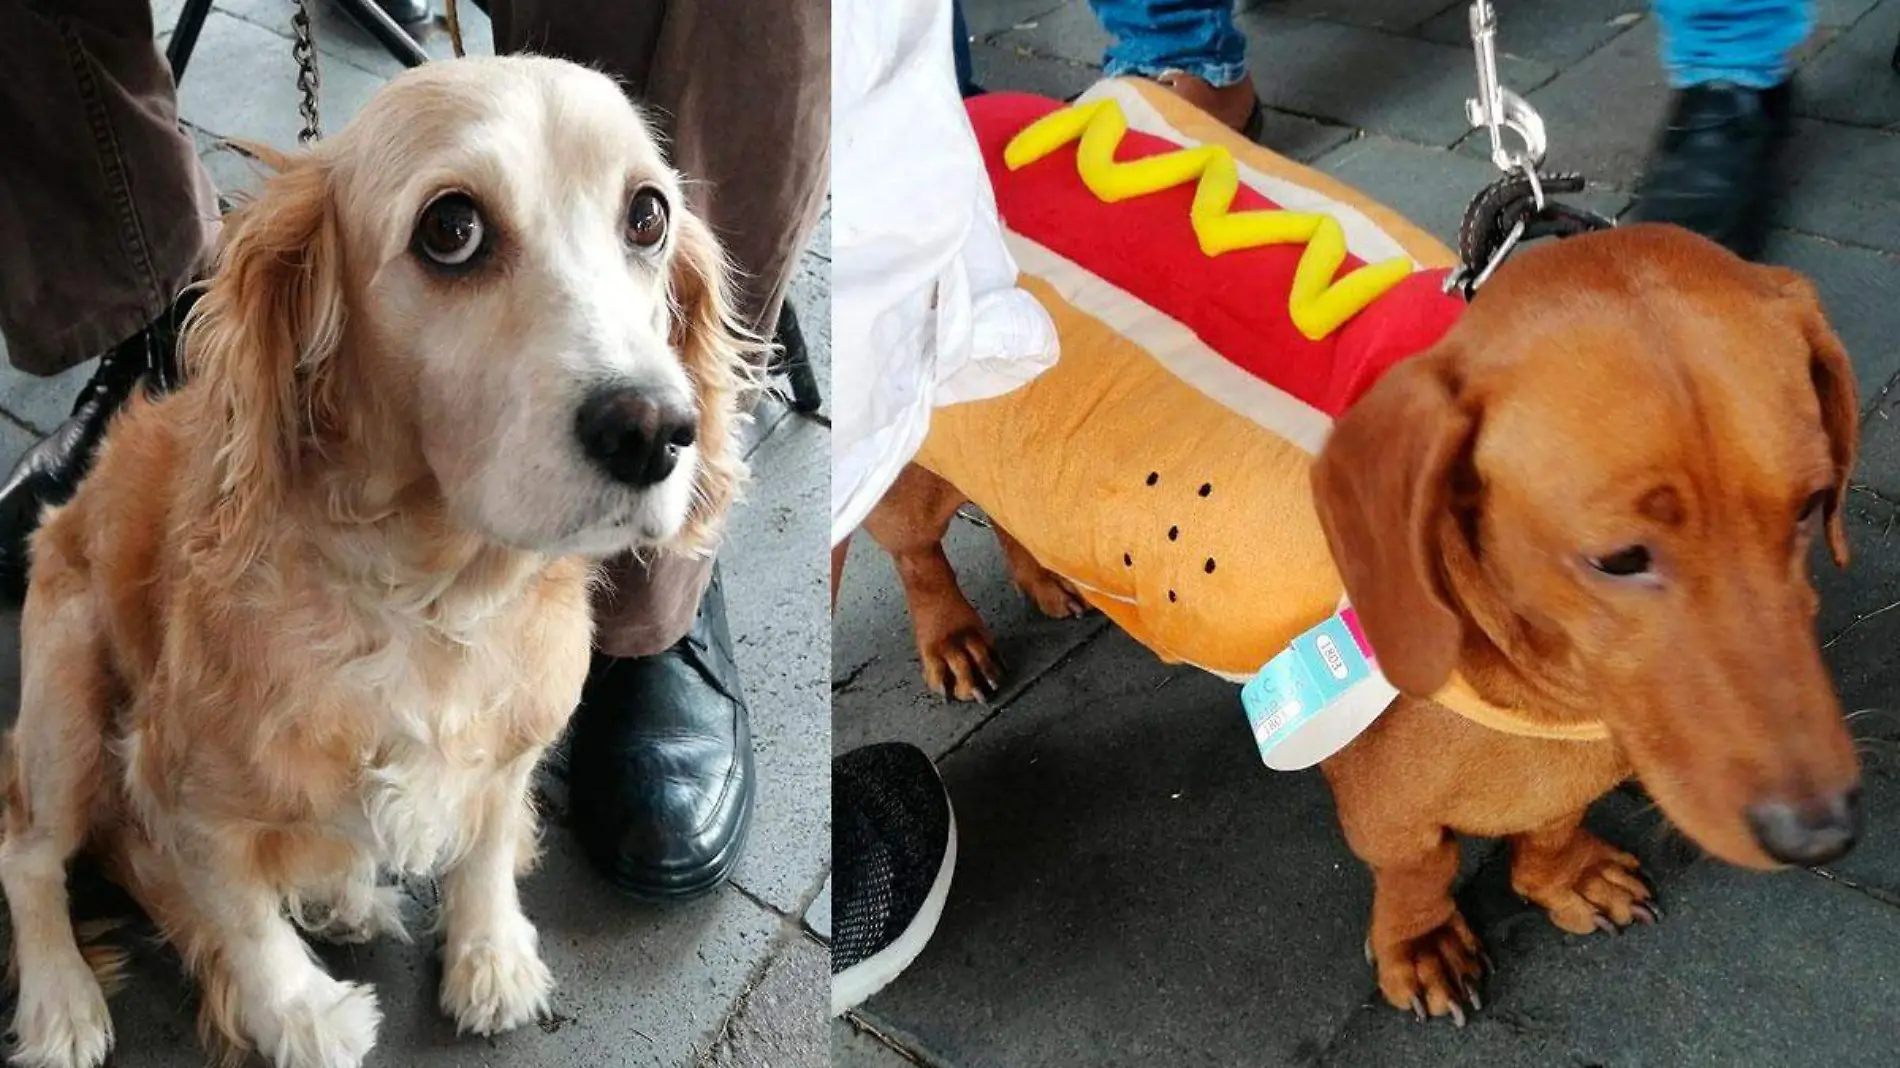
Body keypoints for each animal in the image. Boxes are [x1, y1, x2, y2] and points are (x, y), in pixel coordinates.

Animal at [0, 56, 756, 1064]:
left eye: (648, 215)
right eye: (451, 228)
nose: (656, 431)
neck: (434, 598)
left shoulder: (516, 736)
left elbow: (487, 839)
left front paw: (489, 954)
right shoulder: (178, 783)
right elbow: (238, 911)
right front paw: (298, 1014)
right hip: (69, 698)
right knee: (27, 850)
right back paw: (62, 1001)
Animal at [870, 226, 1862, 1026]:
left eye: (1812, 506)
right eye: (1619, 559)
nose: (1823, 836)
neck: (1547, 695)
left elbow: (1552, 822)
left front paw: (1566, 874)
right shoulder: (1390, 808)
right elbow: (1416, 871)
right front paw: (1419, 945)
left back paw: (1044, 576)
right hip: (914, 484)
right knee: (919, 556)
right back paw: (951, 638)